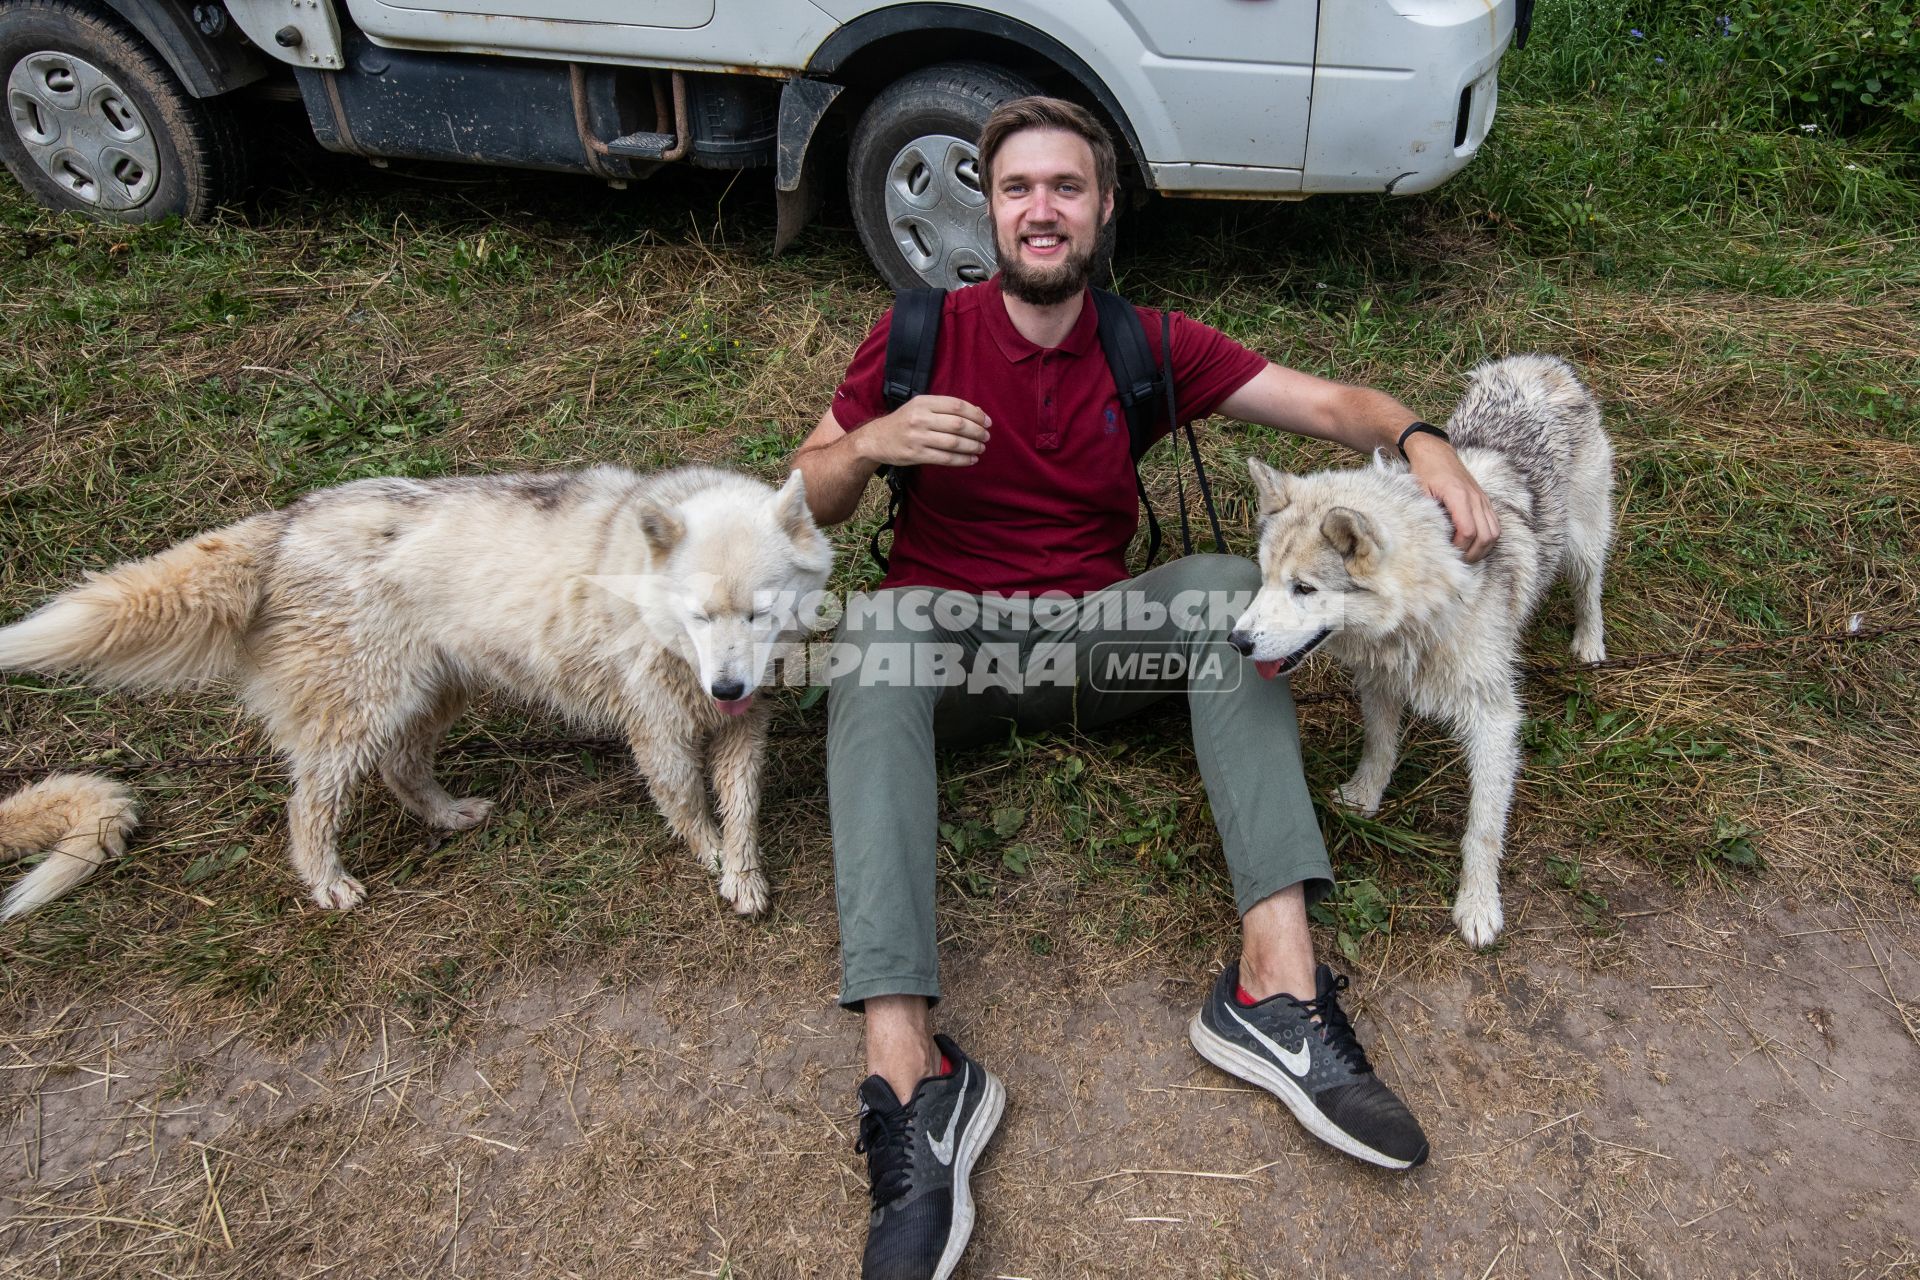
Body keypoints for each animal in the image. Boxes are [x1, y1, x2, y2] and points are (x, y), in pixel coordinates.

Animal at [0, 466, 833, 917]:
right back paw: (330, 885)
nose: (726, 684)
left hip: (429, 697)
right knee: (307, 809)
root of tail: (287, 522)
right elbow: (692, 811)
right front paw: (716, 865)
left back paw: (447, 816)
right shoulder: (659, 734)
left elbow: (741, 808)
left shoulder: (742, 728)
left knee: (402, 770)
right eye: (699, 616)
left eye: (758, 614)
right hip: (359, 718)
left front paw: (744, 874)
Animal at [1228, 355, 1605, 948]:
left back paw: (1589, 643)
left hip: (1584, 544)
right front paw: (1364, 797)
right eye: (1265, 579)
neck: (1419, 620)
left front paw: (1478, 905)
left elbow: (1482, 828)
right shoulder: (1380, 684)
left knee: (1589, 587)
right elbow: (1379, 749)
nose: (1237, 642)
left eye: (1304, 589)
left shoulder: (1495, 719)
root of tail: (1537, 365)